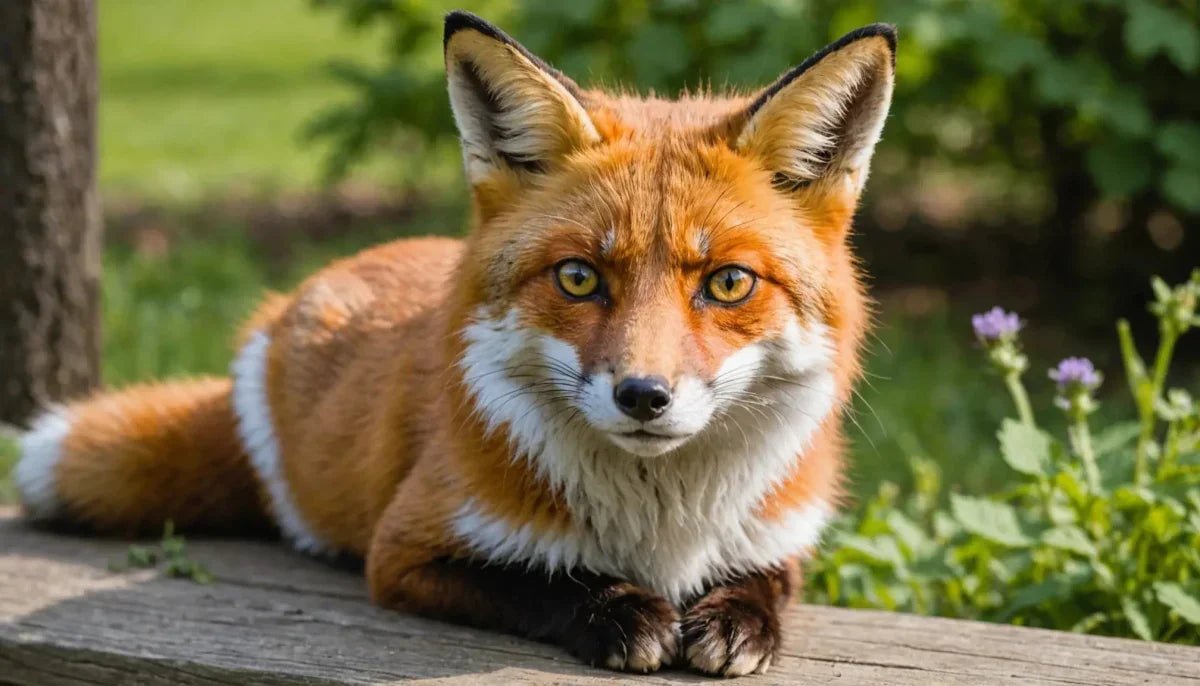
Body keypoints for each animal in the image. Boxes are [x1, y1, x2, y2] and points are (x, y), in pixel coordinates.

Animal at [13, 10, 895, 677]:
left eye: (729, 283)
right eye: (579, 278)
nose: (643, 396)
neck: (662, 532)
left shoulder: (782, 531)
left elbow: (769, 583)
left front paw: (736, 619)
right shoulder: (405, 550)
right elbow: (539, 582)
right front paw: (621, 613)